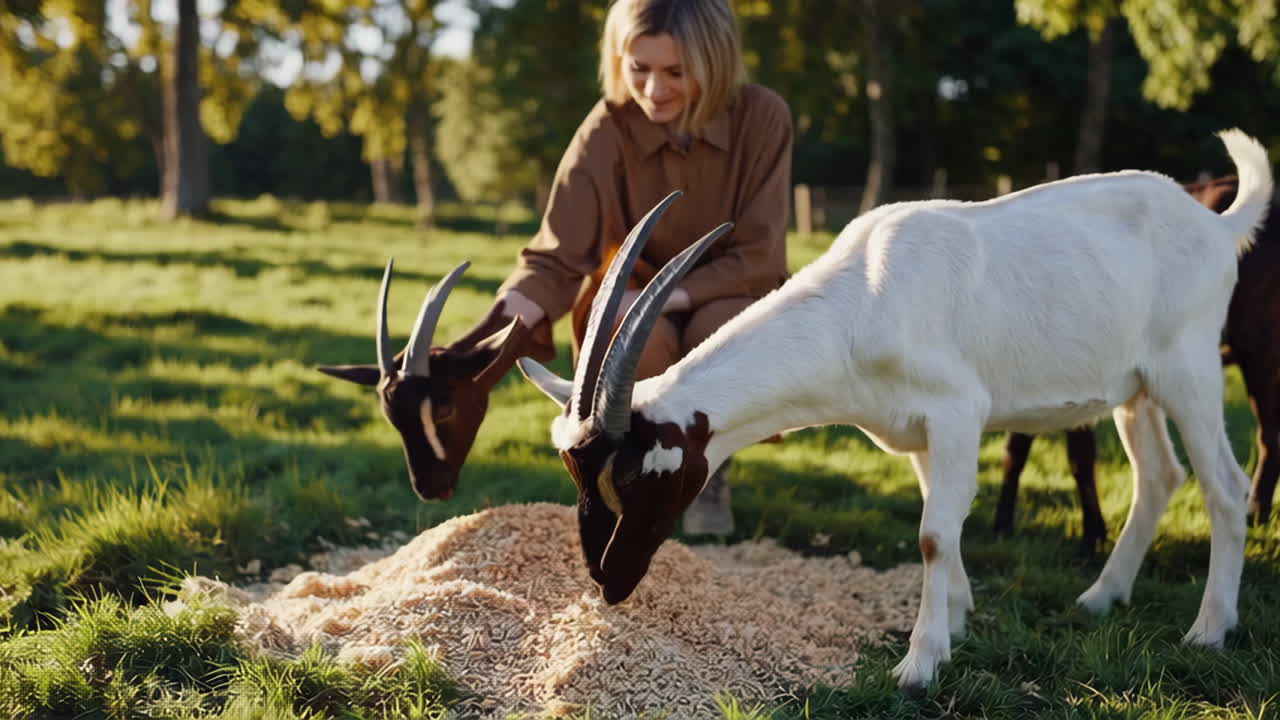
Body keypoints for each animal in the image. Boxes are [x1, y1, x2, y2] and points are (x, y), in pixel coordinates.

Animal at [995, 174, 1279, 549]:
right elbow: (1019, 445)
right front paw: (1002, 525)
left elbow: (1077, 454)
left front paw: (1093, 535)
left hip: (1255, 349)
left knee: (1268, 435)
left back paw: (1255, 513)